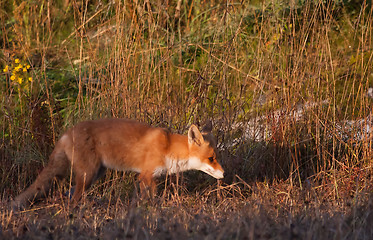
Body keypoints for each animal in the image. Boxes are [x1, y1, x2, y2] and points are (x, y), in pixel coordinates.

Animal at [11, 119, 224, 209]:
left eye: (216, 157)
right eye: (211, 159)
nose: (224, 174)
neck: (168, 147)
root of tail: (67, 132)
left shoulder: (148, 178)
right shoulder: (146, 175)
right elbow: (150, 200)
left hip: (95, 174)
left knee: (70, 194)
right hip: (88, 175)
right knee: (73, 198)